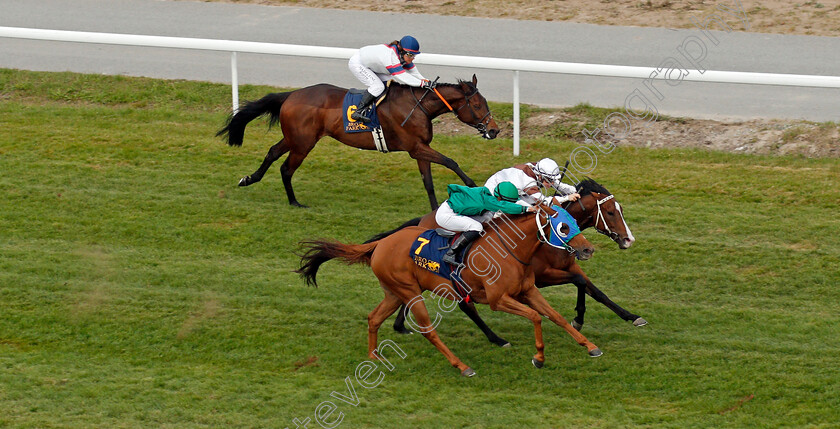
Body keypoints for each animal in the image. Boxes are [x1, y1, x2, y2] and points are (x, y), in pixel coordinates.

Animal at [217, 75, 502, 209]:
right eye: (478, 105)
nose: (494, 130)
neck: (418, 106)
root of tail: (291, 95)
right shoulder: (416, 147)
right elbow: (451, 162)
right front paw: (474, 187)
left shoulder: (420, 149)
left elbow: (428, 183)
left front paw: (435, 212)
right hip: (303, 142)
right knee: (286, 168)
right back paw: (295, 202)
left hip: (295, 138)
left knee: (272, 152)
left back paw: (249, 179)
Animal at [298, 206, 600, 376]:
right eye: (563, 226)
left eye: (575, 220)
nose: (588, 249)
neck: (510, 249)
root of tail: (381, 243)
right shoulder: (498, 299)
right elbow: (537, 317)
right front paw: (539, 358)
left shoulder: (528, 291)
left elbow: (556, 317)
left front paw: (590, 347)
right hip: (410, 292)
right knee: (429, 331)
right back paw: (462, 366)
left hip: (394, 292)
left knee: (374, 318)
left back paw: (373, 356)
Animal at [364, 176, 648, 346]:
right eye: (610, 212)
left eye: (620, 210)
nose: (628, 239)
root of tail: (423, 219)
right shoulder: (542, 276)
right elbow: (579, 282)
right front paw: (578, 318)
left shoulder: (568, 265)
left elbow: (594, 290)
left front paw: (631, 316)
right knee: (459, 304)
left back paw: (401, 324)